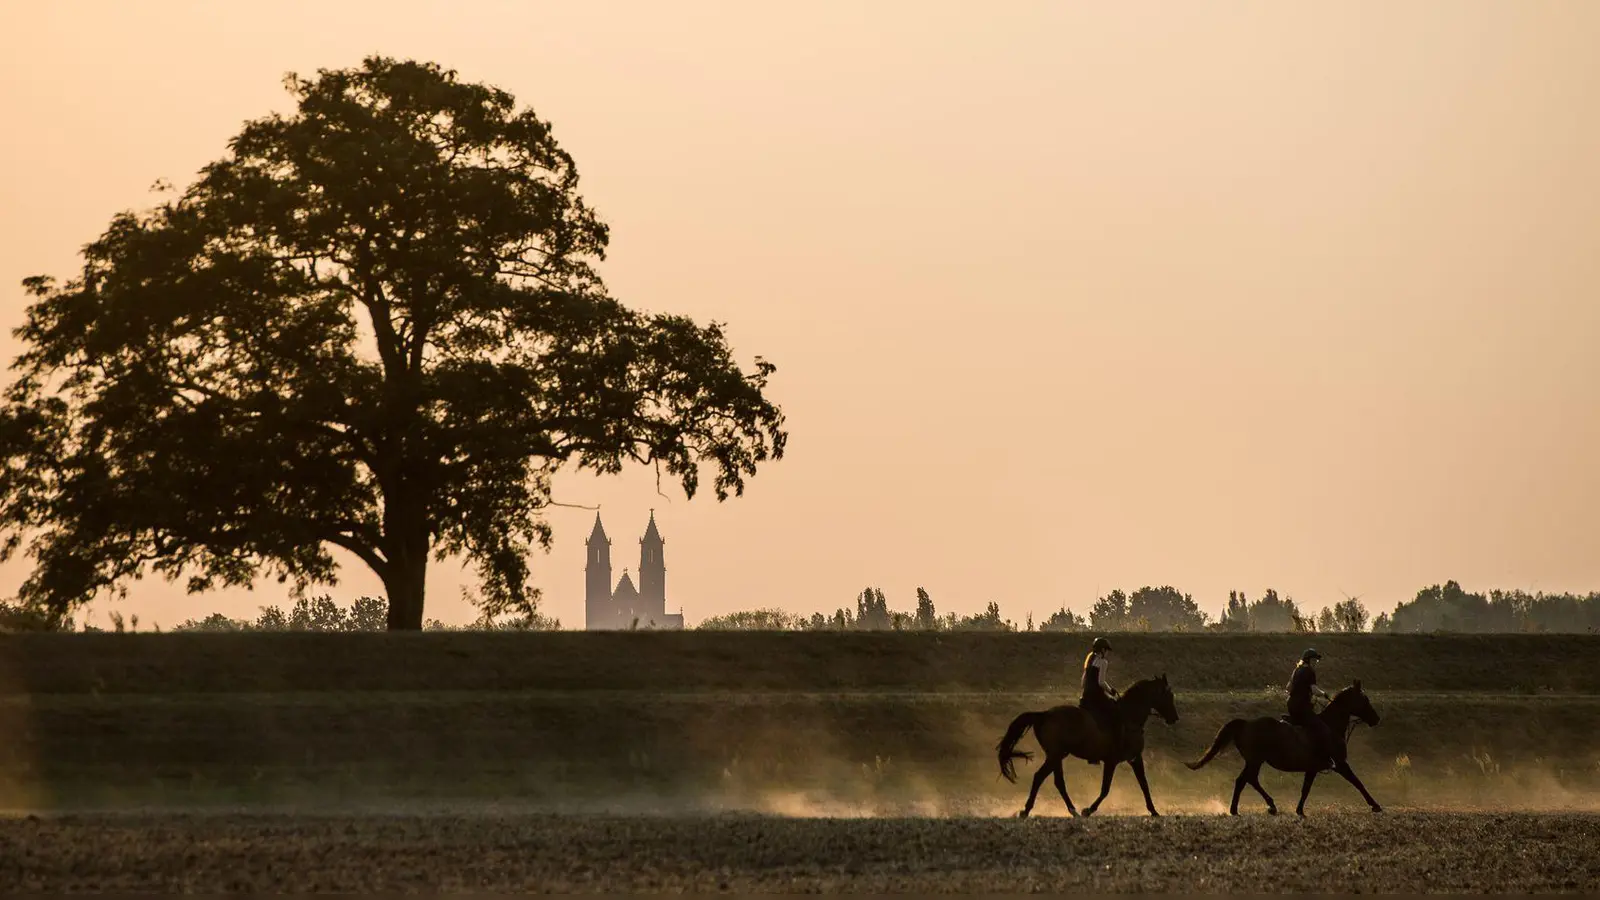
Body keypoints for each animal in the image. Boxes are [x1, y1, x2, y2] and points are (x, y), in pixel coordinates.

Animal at [996, 675, 1180, 818]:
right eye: (1168, 695)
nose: (1174, 718)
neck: (1129, 717)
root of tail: (1045, 714)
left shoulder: (1135, 759)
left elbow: (1144, 785)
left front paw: (1154, 811)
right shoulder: (1111, 761)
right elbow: (1105, 789)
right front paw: (1089, 810)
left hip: (1057, 756)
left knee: (1049, 779)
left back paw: (1049, 810)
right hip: (1056, 755)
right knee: (1047, 779)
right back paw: (1059, 810)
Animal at [1185, 679, 1383, 817]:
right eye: (1364, 699)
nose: (1376, 719)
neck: (1331, 725)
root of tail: (1246, 723)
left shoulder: (1312, 768)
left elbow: (1306, 789)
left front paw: (1300, 810)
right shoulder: (1341, 764)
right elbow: (1357, 782)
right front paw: (1375, 805)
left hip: (1254, 761)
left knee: (1247, 780)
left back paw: (1260, 806)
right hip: (1255, 760)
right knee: (1245, 780)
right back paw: (1247, 808)